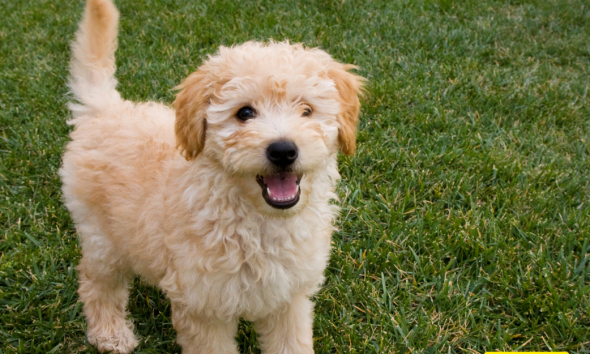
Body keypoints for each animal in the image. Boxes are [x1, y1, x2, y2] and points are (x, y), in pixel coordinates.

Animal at [60, 0, 366, 352]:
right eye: (244, 113)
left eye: (306, 110)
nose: (283, 150)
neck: (258, 221)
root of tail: (106, 109)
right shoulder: (203, 307)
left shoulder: (289, 297)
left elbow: (291, 343)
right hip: (102, 237)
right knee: (96, 282)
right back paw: (110, 333)